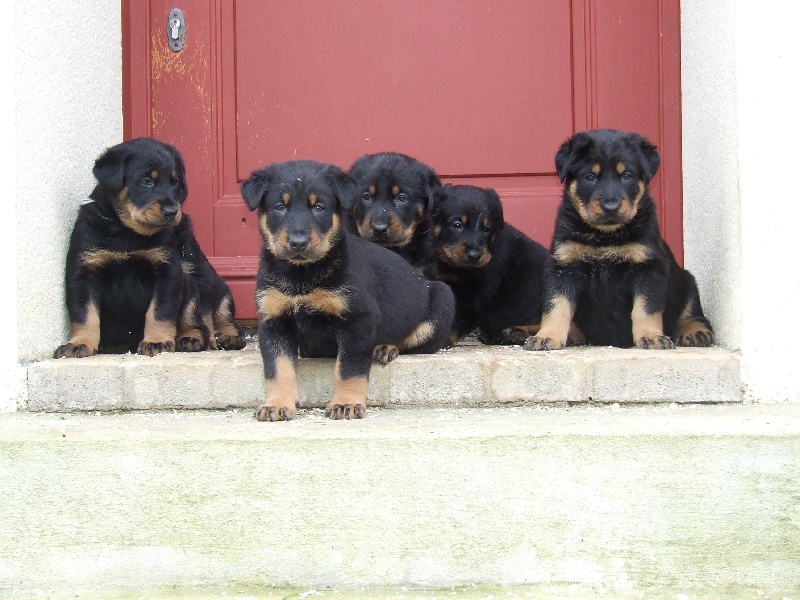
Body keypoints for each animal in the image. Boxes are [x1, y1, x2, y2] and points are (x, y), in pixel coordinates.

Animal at [54, 138, 244, 358]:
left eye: (175, 182)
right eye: (146, 181)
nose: (172, 211)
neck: (126, 231)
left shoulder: (168, 270)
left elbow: (160, 310)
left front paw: (157, 341)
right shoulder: (84, 271)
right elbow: (84, 313)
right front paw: (79, 343)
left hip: (192, 281)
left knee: (206, 316)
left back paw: (195, 338)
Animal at [239, 159, 456, 422]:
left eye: (319, 207)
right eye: (280, 207)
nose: (298, 243)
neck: (302, 273)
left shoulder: (358, 320)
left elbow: (349, 369)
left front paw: (346, 403)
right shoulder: (273, 321)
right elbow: (278, 369)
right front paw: (277, 404)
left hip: (442, 299)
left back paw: (384, 347)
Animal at [434, 183, 552, 344]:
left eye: (487, 229)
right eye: (457, 225)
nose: (474, 255)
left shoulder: (477, 295)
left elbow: (458, 317)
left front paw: (445, 339)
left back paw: (518, 332)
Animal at [520, 129, 716, 350]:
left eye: (626, 176)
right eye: (590, 177)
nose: (611, 207)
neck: (605, 235)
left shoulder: (649, 268)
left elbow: (646, 308)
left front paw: (651, 336)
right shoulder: (563, 266)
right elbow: (556, 306)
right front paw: (547, 336)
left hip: (687, 282)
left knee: (692, 314)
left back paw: (696, 332)